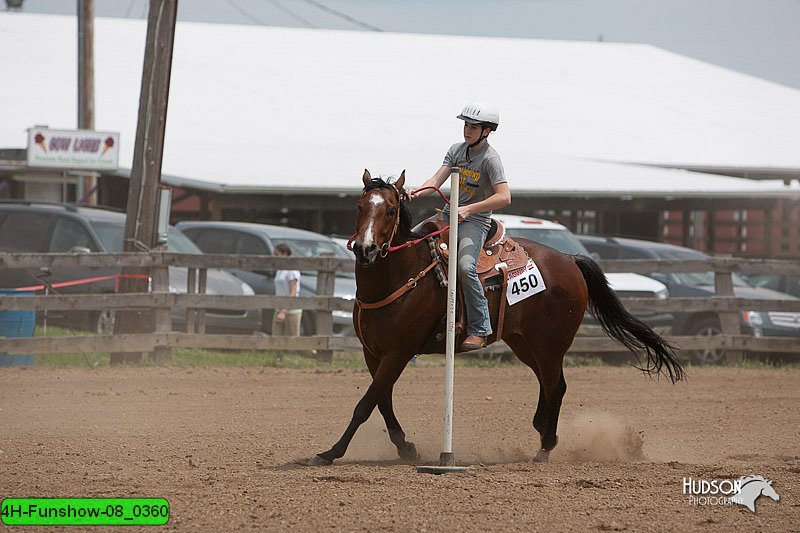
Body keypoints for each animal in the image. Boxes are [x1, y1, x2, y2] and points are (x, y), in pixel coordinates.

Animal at [310, 171, 684, 466]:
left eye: (389, 209)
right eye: (360, 207)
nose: (366, 249)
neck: (401, 275)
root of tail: (570, 260)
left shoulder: (399, 352)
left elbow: (366, 404)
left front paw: (330, 453)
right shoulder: (373, 353)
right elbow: (382, 402)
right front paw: (407, 449)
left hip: (551, 344)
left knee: (556, 385)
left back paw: (546, 446)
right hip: (524, 342)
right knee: (548, 384)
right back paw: (541, 430)